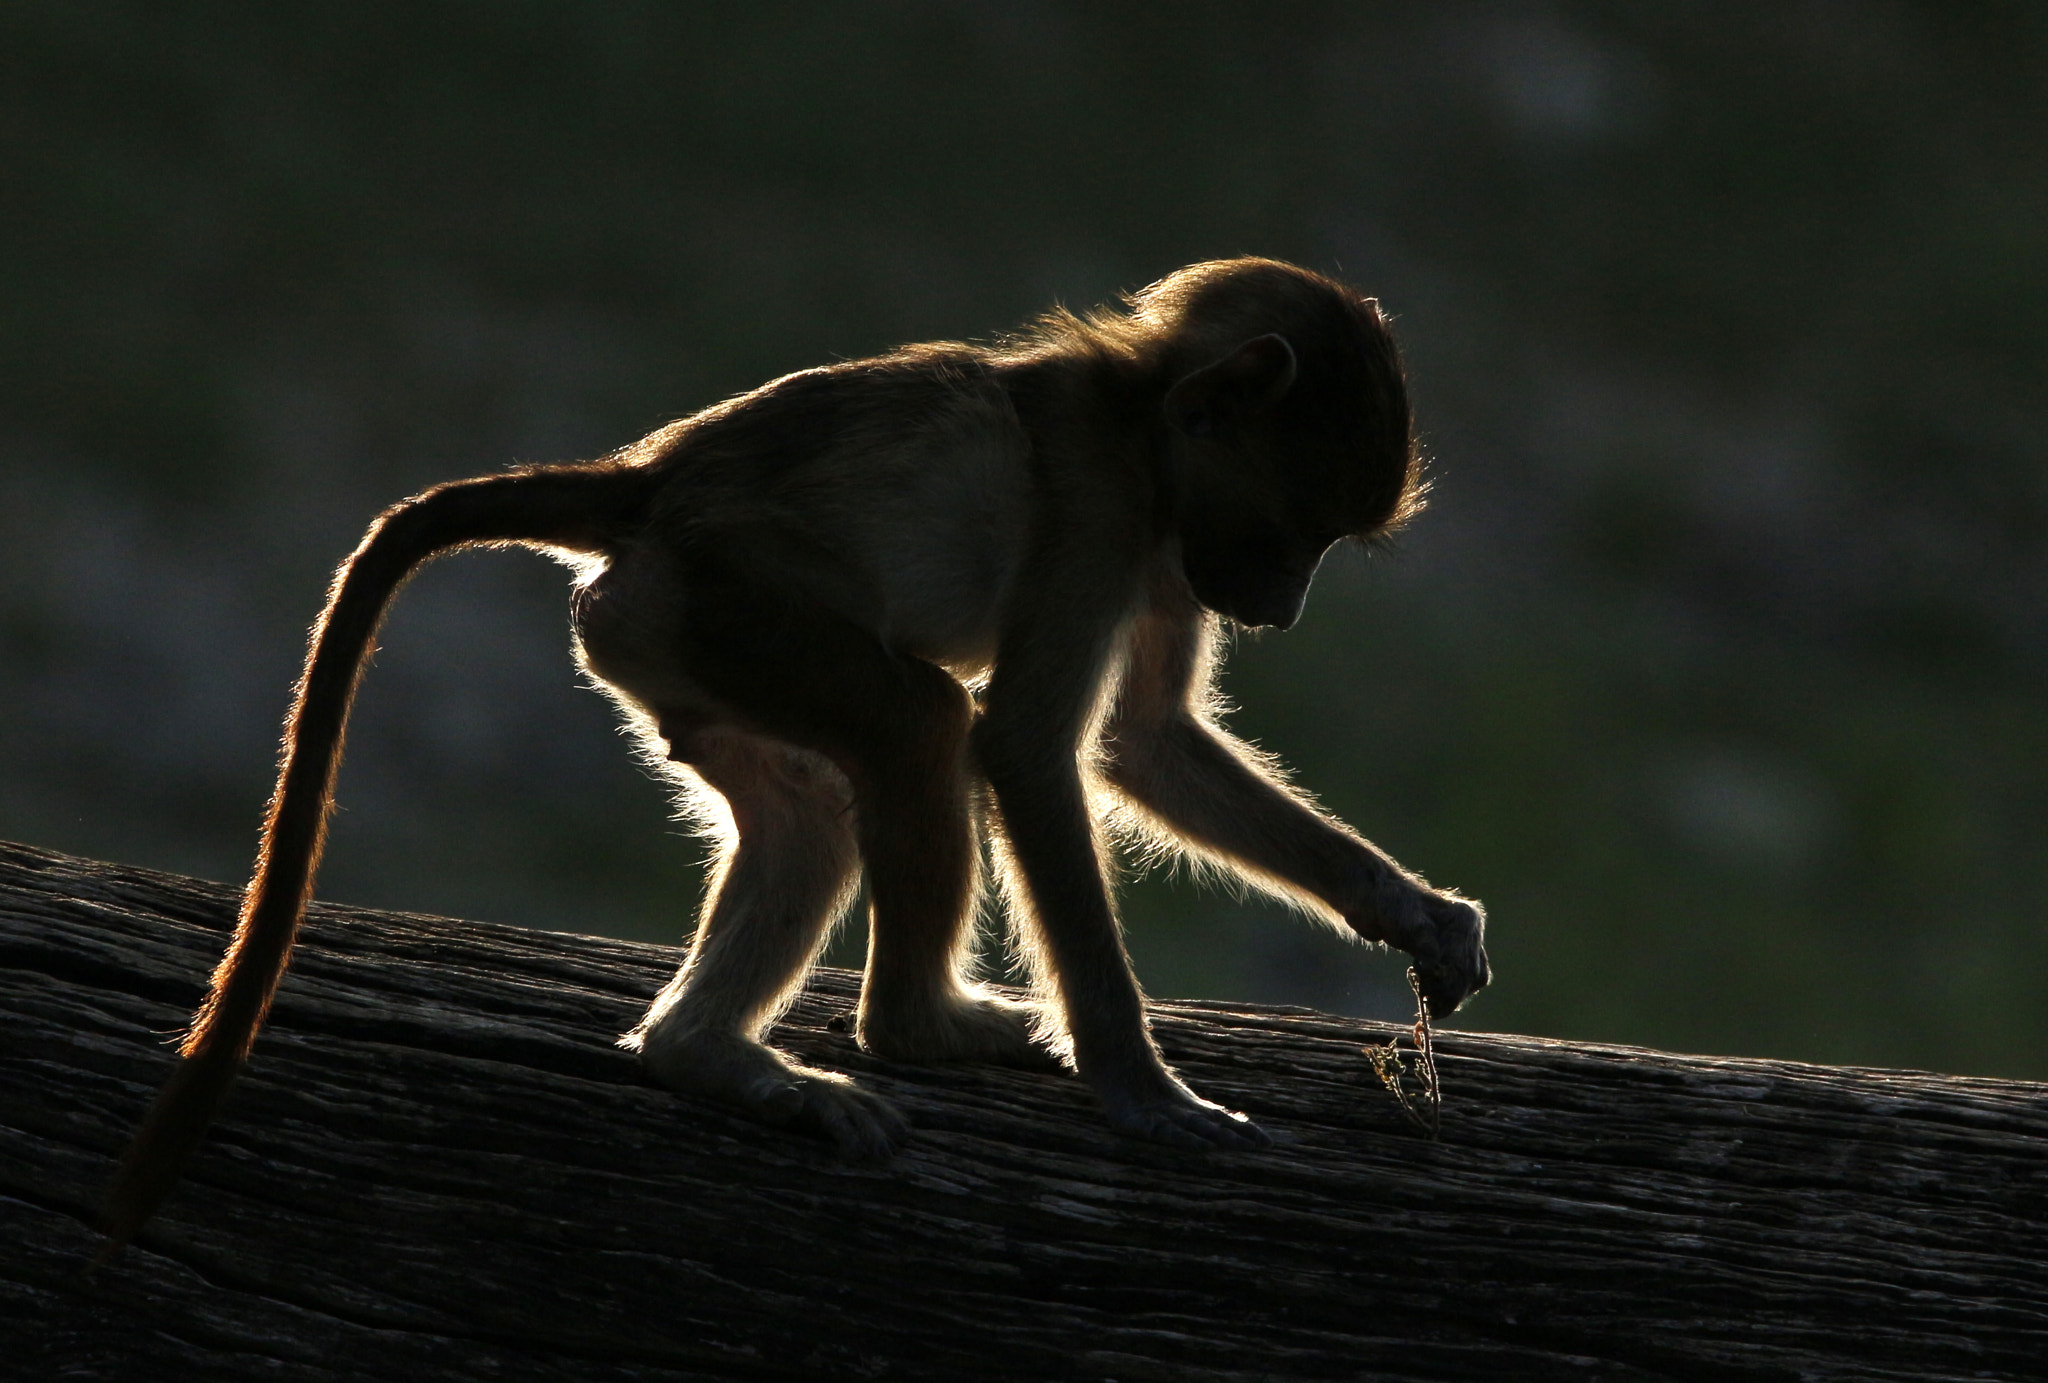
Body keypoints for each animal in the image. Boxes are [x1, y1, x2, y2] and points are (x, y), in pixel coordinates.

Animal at [99, 257, 1490, 1249]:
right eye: (1298, 531)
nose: (1284, 607)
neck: (1136, 415)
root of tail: (650, 481)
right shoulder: (1102, 514)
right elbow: (1029, 748)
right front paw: (1137, 1090)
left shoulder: (1163, 548)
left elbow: (1143, 747)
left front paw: (1413, 917)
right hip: (725, 601)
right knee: (923, 728)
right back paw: (914, 1027)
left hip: (666, 638)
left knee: (810, 815)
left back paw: (699, 1054)